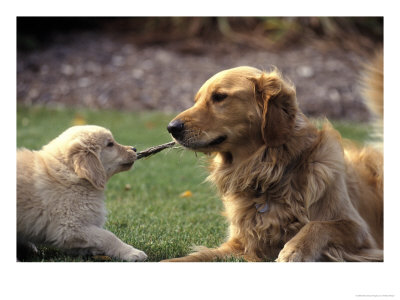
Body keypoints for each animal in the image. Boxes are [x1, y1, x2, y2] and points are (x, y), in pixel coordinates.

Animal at [17, 124, 148, 260]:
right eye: (110, 144)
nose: (134, 149)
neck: (69, 174)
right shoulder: (69, 226)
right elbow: (108, 236)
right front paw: (133, 253)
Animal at [164, 54, 382, 262]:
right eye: (196, 100)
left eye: (219, 97)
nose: (172, 128)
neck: (266, 175)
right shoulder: (241, 244)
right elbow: (190, 258)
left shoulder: (358, 229)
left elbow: (319, 225)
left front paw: (295, 250)